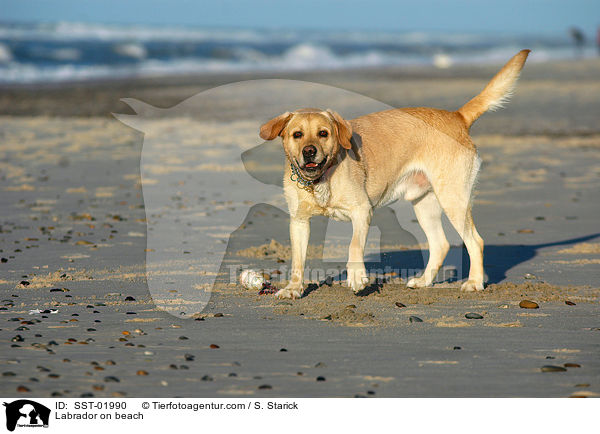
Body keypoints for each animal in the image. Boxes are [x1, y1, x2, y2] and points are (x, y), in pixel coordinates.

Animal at [258, 48, 528, 298]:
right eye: (297, 135)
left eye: (323, 133)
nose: (309, 151)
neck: (321, 180)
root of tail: (457, 116)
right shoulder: (299, 222)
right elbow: (297, 260)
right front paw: (293, 289)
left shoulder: (362, 211)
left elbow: (354, 246)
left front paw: (357, 277)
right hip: (424, 204)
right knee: (440, 244)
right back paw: (424, 281)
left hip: (453, 199)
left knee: (475, 241)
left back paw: (474, 282)